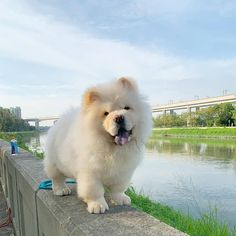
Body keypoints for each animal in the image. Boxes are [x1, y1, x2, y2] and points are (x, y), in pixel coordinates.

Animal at [43, 78, 152, 214]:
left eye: (127, 108)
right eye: (106, 113)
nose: (119, 117)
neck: (113, 149)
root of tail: (59, 122)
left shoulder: (123, 171)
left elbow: (118, 188)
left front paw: (120, 199)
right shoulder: (90, 172)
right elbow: (94, 190)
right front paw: (97, 206)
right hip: (54, 164)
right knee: (56, 178)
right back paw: (61, 190)